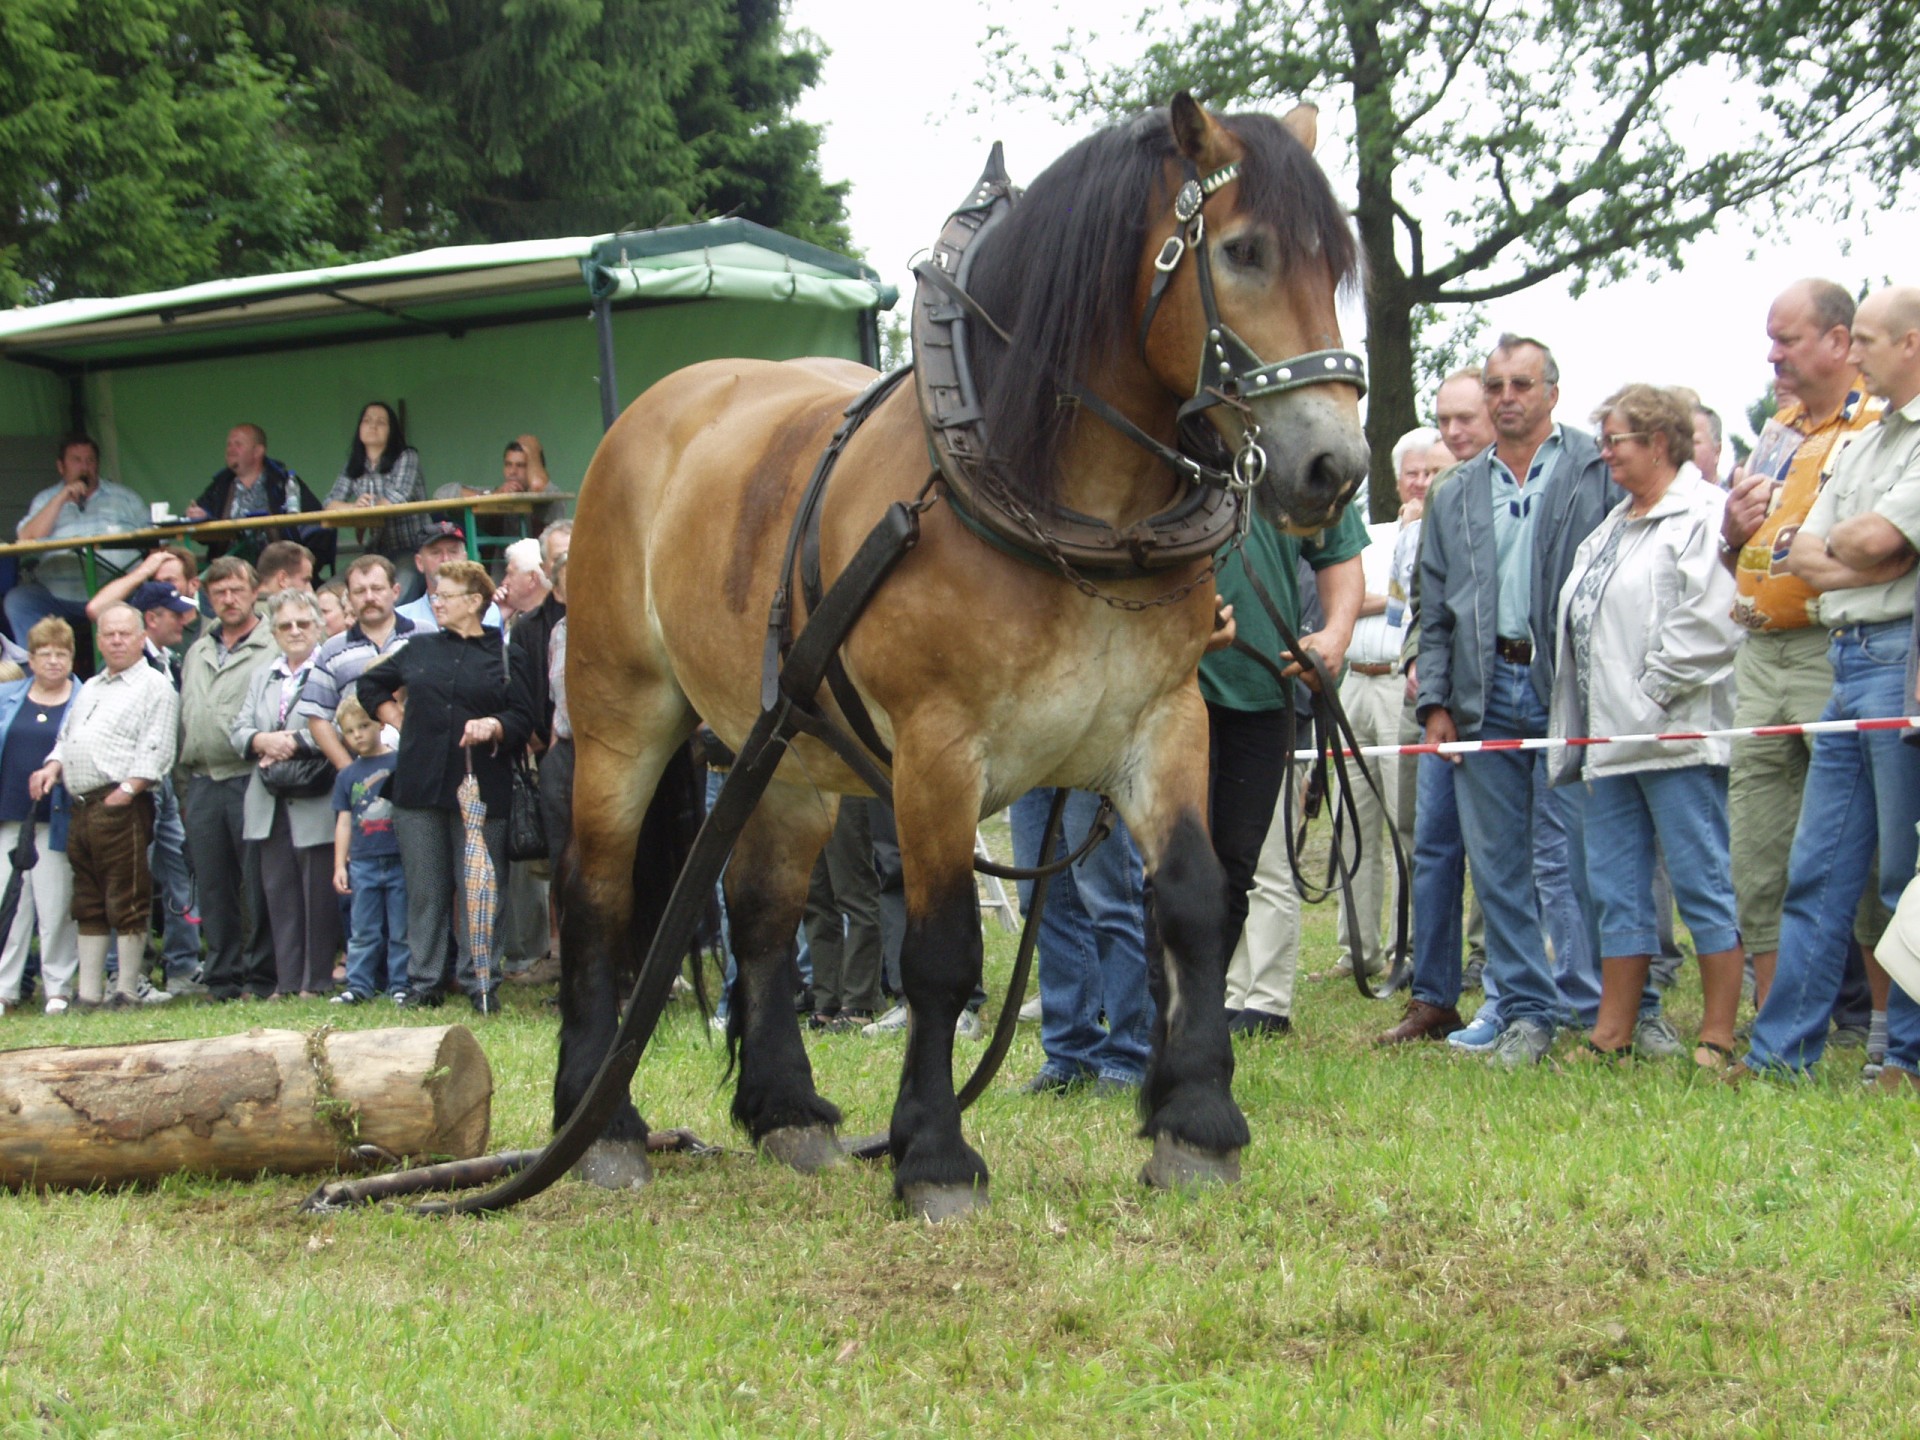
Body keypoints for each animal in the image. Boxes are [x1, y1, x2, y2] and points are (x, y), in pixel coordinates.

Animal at [552, 93, 1367, 1221]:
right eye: (1244, 251)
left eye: (1336, 267)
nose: (1337, 466)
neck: (1066, 509)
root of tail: (654, 411)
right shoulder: (938, 751)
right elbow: (939, 951)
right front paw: (935, 1154)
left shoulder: (1168, 722)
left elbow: (1198, 902)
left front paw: (1197, 1125)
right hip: (620, 719)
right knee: (598, 891)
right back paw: (603, 1125)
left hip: (792, 749)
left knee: (760, 914)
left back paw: (787, 1111)